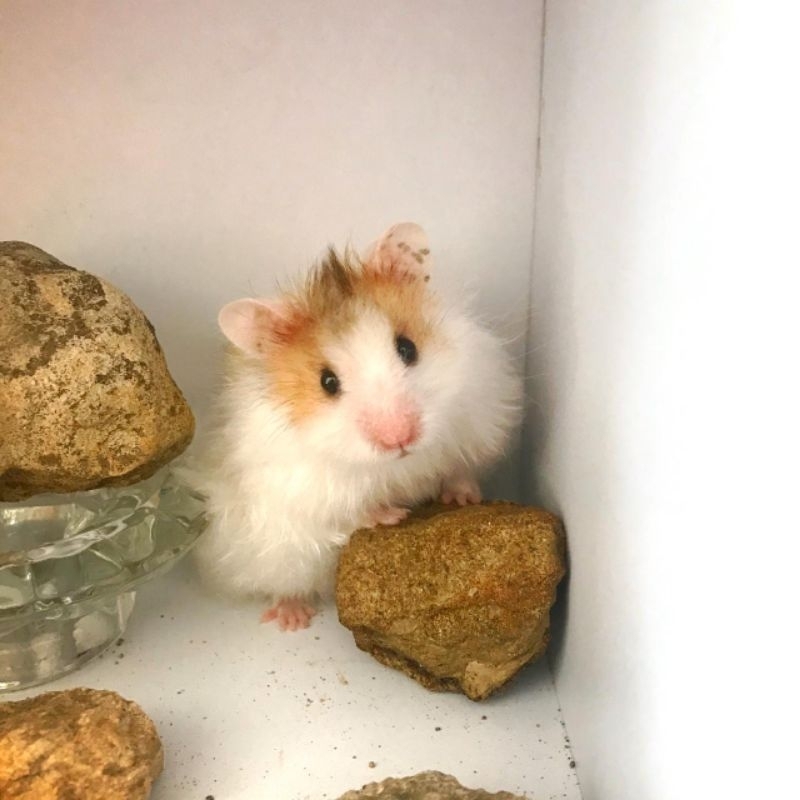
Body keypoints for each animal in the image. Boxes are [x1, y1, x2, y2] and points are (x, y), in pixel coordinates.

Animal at [190, 222, 521, 631]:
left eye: (407, 348)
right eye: (327, 382)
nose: (400, 439)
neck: (399, 466)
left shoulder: (477, 421)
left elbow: (460, 470)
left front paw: (462, 499)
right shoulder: (303, 488)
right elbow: (348, 512)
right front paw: (393, 514)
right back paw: (292, 618)